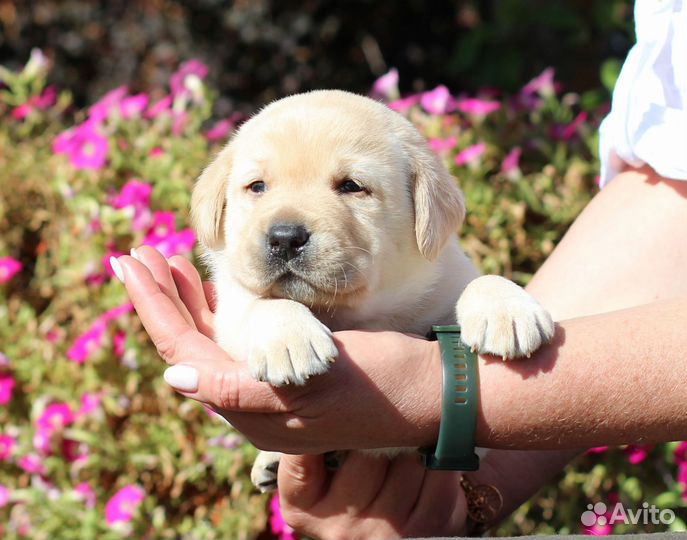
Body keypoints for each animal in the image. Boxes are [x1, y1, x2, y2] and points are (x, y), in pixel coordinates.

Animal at [191, 90, 556, 492]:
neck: (350, 310)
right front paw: (289, 341)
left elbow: (479, 279)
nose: (285, 237)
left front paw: (507, 311)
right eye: (257, 187)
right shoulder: (230, 313)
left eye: (352, 186)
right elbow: (263, 303)